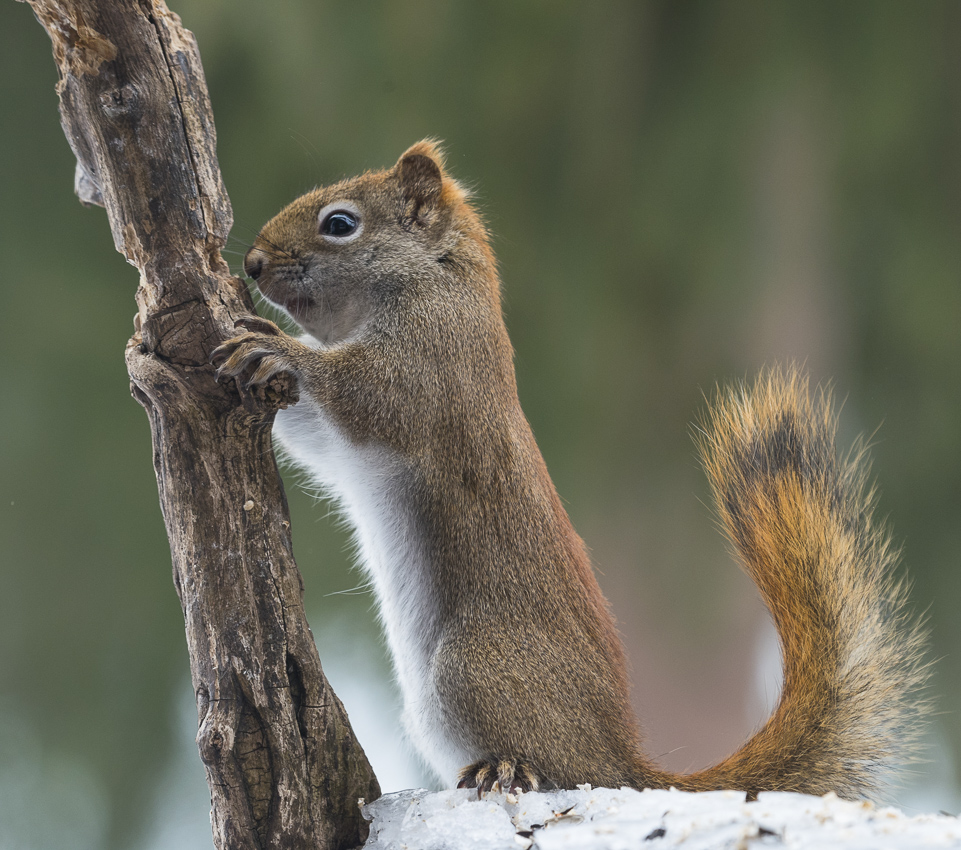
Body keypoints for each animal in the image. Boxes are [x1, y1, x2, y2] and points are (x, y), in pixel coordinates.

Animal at [214, 141, 928, 800]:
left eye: (341, 223)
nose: (251, 262)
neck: (439, 282)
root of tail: (620, 765)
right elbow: (315, 435)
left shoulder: (432, 367)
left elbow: (365, 394)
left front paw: (278, 347)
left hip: (475, 667)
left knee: (550, 767)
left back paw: (507, 766)